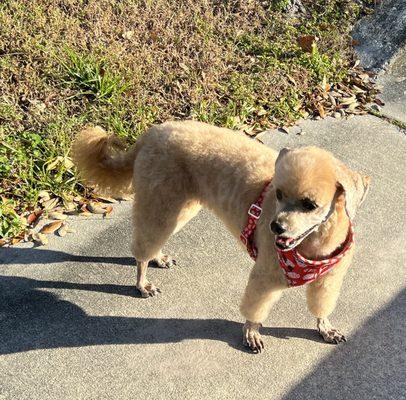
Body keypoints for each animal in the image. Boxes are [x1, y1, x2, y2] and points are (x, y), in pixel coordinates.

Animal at [73, 120, 372, 352]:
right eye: (278, 194)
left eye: (310, 204)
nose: (275, 227)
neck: (313, 245)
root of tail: (153, 132)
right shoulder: (265, 277)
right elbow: (254, 309)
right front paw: (251, 333)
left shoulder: (329, 280)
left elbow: (322, 306)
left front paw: (325, 327)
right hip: (161, 202)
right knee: (143, 248)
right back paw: (142, 282)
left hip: (180, 207)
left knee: (152, 240)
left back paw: (158, 258)